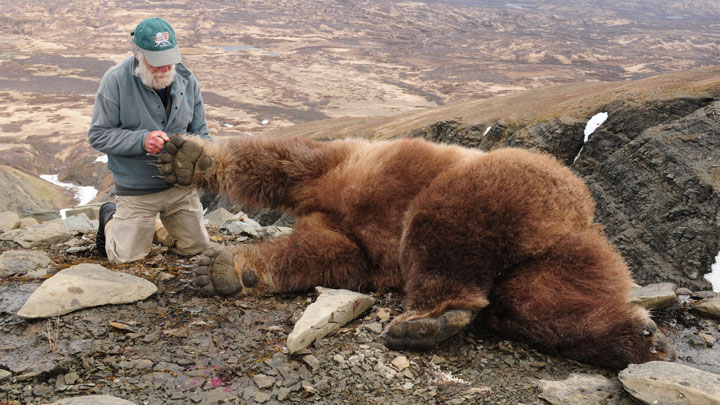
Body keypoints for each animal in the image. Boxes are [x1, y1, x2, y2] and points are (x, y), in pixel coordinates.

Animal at [155, 134, 676, 368]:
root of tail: (577, 211)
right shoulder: (344, 230)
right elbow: (323, 253)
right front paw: (227, 270)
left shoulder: (347, 165)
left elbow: (281, 160)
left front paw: (189, 157)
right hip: (569, 255)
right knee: (539, 303)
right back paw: (639, 335)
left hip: (503, 182)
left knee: (443, 225)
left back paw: (428, 319)